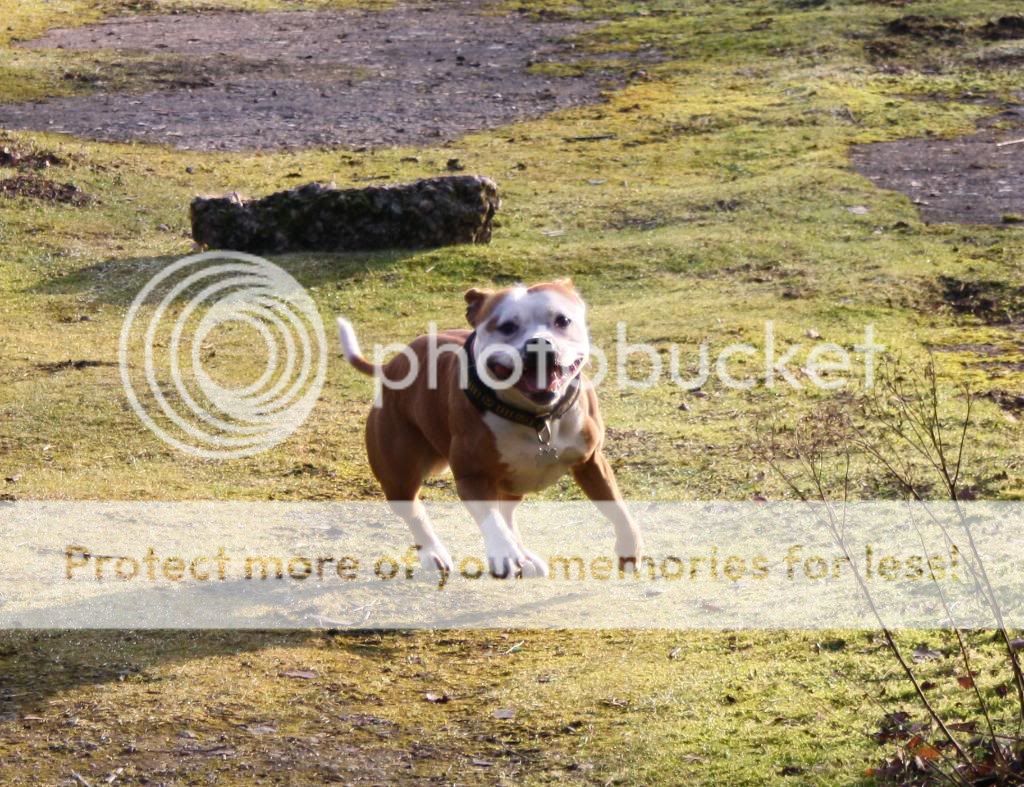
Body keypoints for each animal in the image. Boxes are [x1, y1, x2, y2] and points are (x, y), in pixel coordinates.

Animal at [335, 278, 638, 573]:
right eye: (506, 327)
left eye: (562, 320)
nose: (539, 343)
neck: (536, 419)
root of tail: (392, 365)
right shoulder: (473, 477)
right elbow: (491, 519)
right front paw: (504, 552)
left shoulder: (592, 462)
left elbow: (617, 508)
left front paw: (629, 547)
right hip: (399, 475)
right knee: (415, 511)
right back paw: (433, 553)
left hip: (513, 481)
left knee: (506, 512)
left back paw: (525, 556)